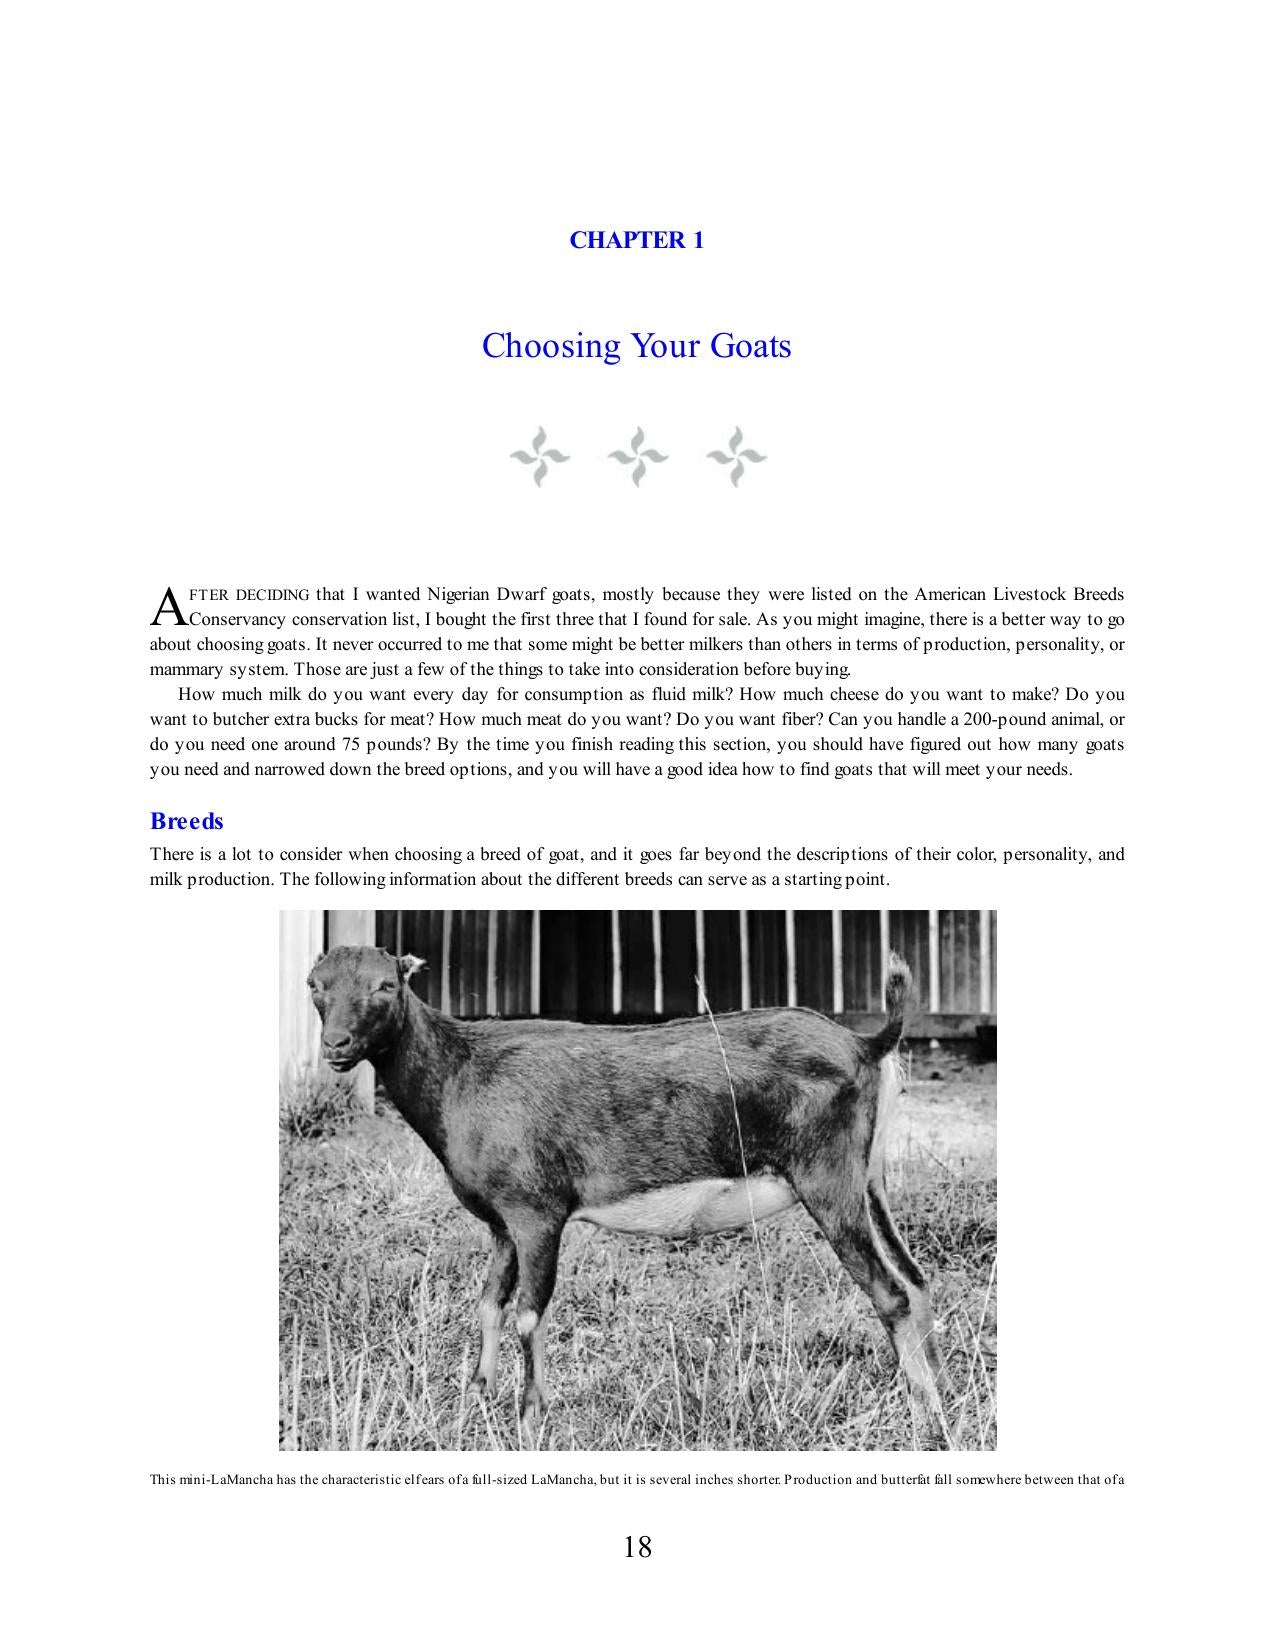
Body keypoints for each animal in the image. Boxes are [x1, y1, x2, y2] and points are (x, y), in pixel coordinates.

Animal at [307, 944, 943, 1431]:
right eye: (316, 985)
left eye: (386, 985)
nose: (336, 1046)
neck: (463, 1073)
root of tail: (866, 1045)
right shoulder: (501, 1222)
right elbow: (489, 1303)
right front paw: (477, 1394)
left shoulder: (538, 1210)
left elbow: (529, 1314)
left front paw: (530, 1416)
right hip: (870, 1180)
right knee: (915, 1278)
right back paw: (938, 1388)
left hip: (828, 1178)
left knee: (890, 1291)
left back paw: (923, 1412)